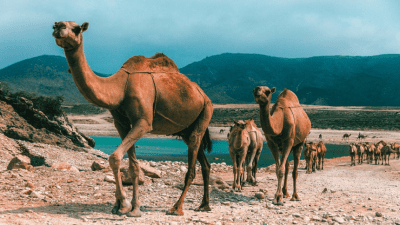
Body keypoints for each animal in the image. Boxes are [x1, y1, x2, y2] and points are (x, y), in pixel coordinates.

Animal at [54, 21, 214, 216]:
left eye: (76, 28)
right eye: (57, 25)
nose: (58, 26)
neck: (120, 87)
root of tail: (203, 95)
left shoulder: (143, 122)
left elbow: (115, 157)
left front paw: (123, 204)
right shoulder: (121, 123)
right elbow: (133, 166)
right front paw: (132, 207)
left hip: (206, 111)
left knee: (192, 165)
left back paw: (177, 208)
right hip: (187, 128)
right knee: (205, 163)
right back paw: (204, 205)